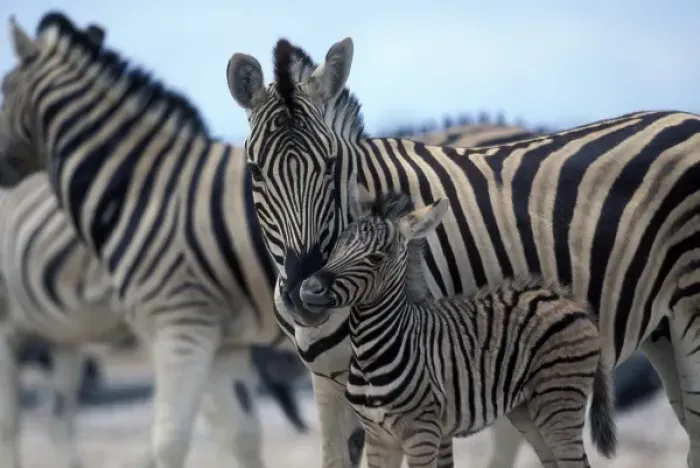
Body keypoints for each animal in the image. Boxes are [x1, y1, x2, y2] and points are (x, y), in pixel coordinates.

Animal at [0, 13, 309, 468]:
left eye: (5, 88)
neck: (140, 186)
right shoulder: (220, 340)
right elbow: (241, 435)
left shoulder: (179, 328)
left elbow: (172, 441)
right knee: (55, 419)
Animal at [298, 184, 617, 468]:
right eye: (336, 247)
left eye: (376, 258)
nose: (308, 289)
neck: (371, 352)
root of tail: (570, 302)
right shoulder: (378, 437)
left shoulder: (422, 433)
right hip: (527, 411)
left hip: (558, 402)